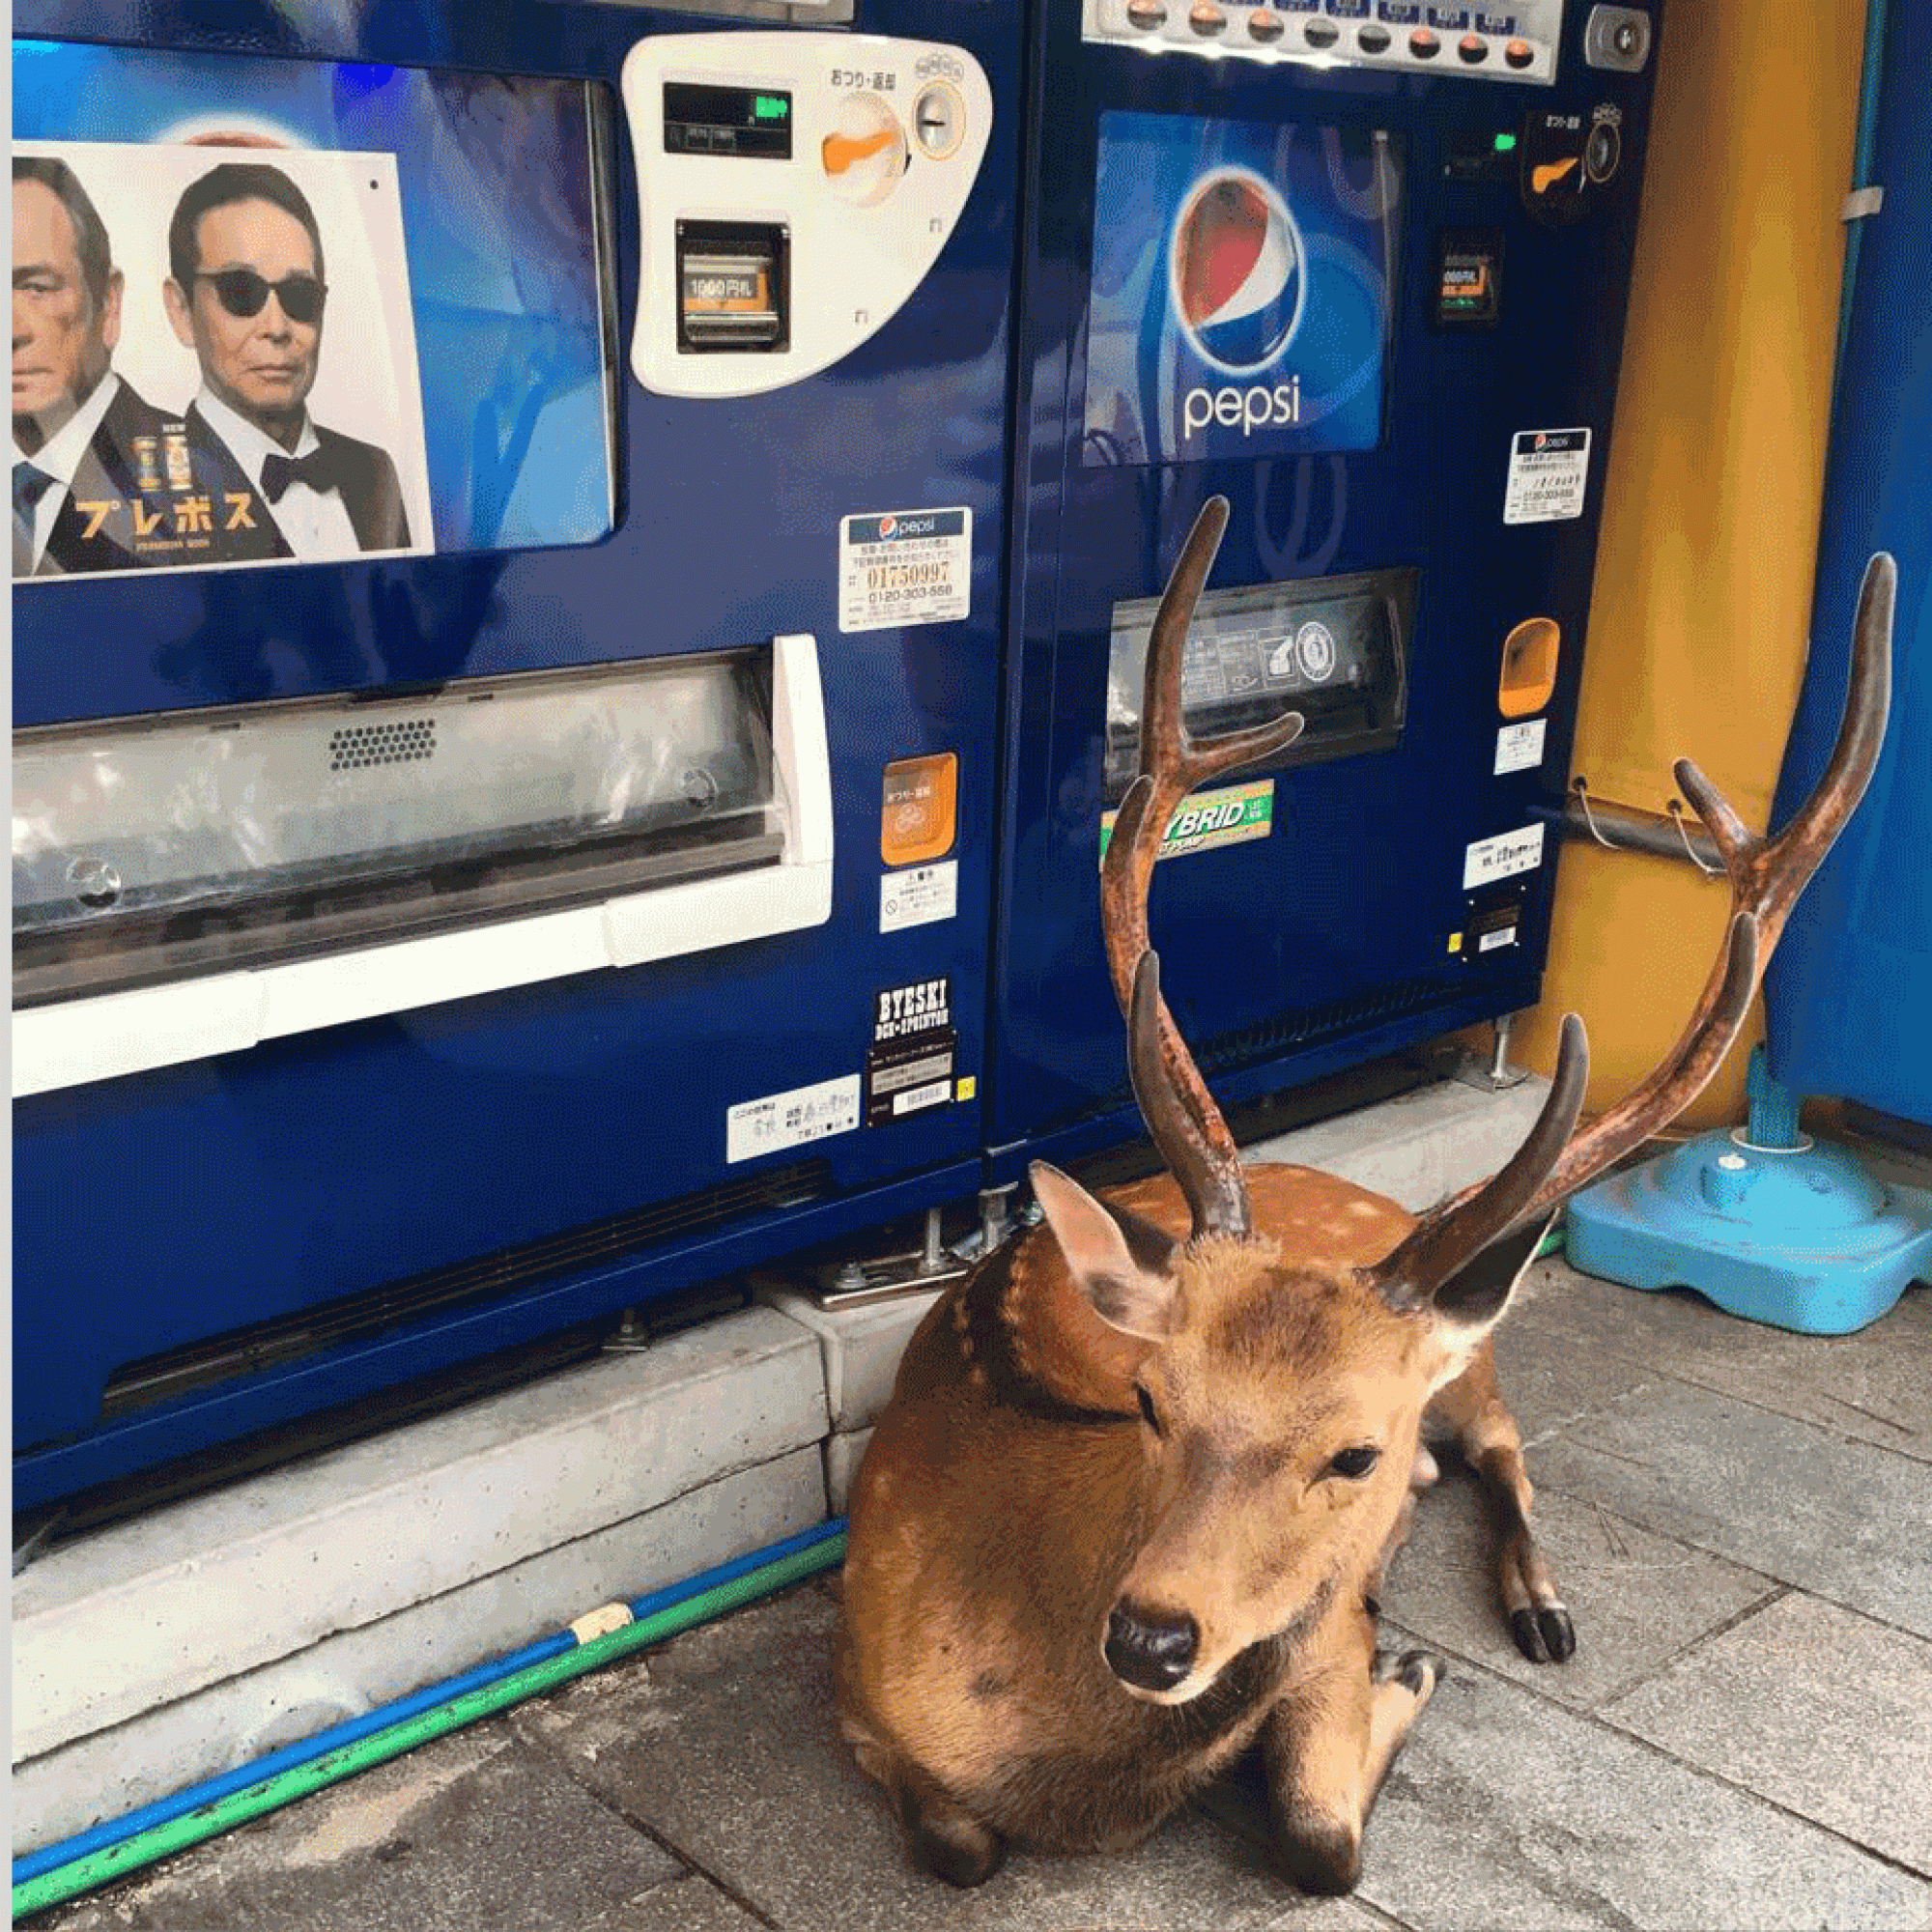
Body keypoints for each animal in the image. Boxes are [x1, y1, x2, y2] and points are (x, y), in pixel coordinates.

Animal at [838, 491, 1893, 1893]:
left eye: (1352, 1451)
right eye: (1149, 1402)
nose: (1151, 1639)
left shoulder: (1313, 1627)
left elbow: (1321, 1836)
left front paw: (1409, 1665)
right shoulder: (860, 1701)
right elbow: (958, 1846)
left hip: (1474, 1361)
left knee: (1505, 1446)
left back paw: (1538, 1606)